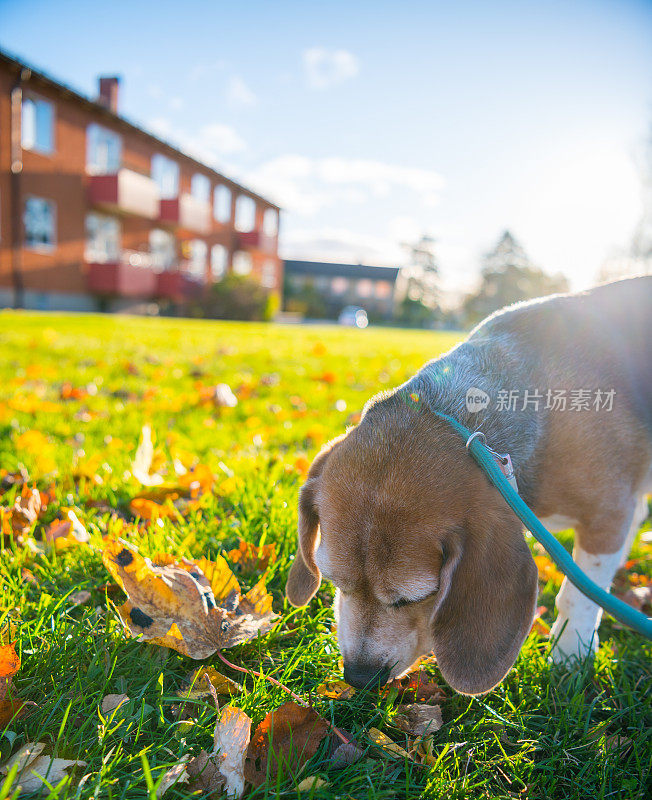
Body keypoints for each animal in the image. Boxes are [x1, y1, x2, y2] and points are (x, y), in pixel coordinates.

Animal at [286, 278, 652, 696]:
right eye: (333, 582)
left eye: (415, 598)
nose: (359, 677)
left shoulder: (607, 516)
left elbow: (579, 595)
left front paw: (570, 653)